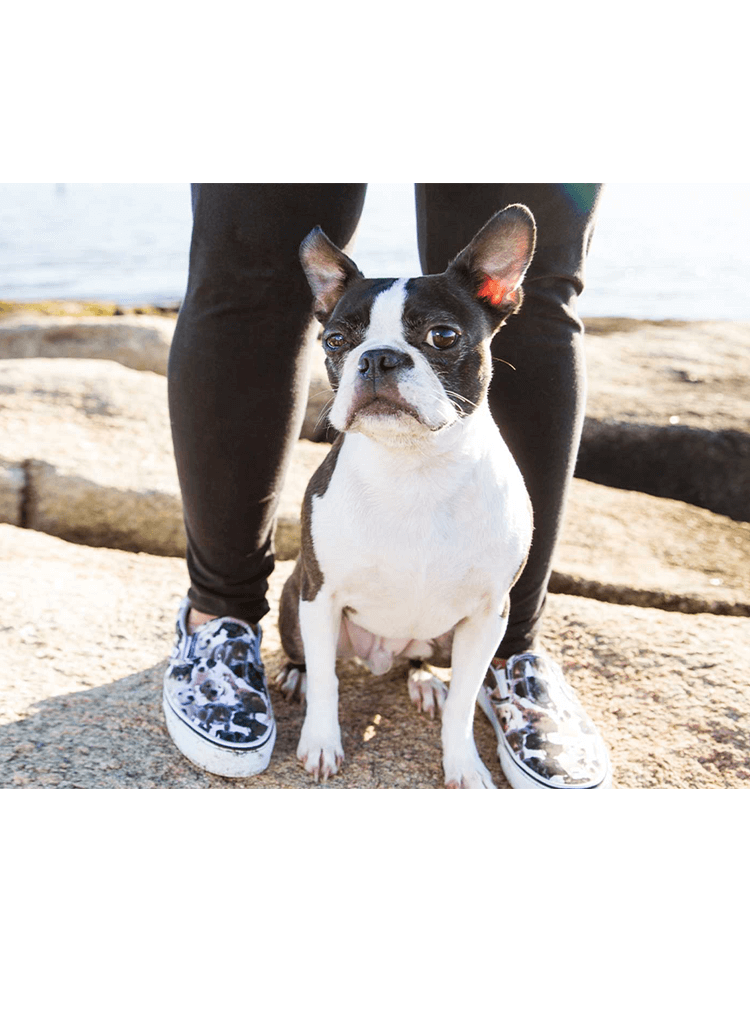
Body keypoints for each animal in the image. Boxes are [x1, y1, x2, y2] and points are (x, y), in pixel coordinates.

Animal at [278, 204, 537, 787]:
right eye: (334, 340)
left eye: (442, 335)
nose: (378, 358)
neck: (413, 467)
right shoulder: (319, 594)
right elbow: (327, 682)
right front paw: (321, 742)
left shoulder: (490, 614)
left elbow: (465, 701)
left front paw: (464, 765)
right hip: (291, 597)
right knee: (309, 658)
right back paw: (295, 676)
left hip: (444, 634)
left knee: (422, 662)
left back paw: (422, 679)